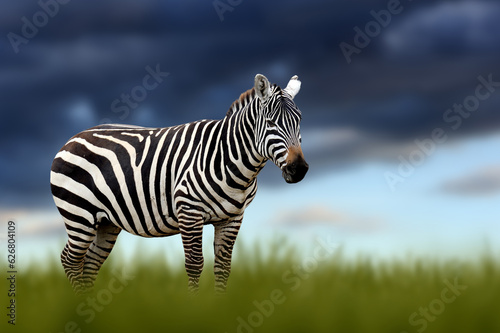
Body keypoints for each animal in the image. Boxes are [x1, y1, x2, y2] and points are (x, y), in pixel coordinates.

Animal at [51, 73, 308, 294]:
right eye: (270, 122)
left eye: (299, 121)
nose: (299, 170)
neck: (229, 159)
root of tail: (73, 138)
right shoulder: (189, 212)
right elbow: (194, 265)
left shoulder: (233, 218)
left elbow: (223, 268)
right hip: (79, 215)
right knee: (70, 260)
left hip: (106, 221)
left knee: (89, 264)